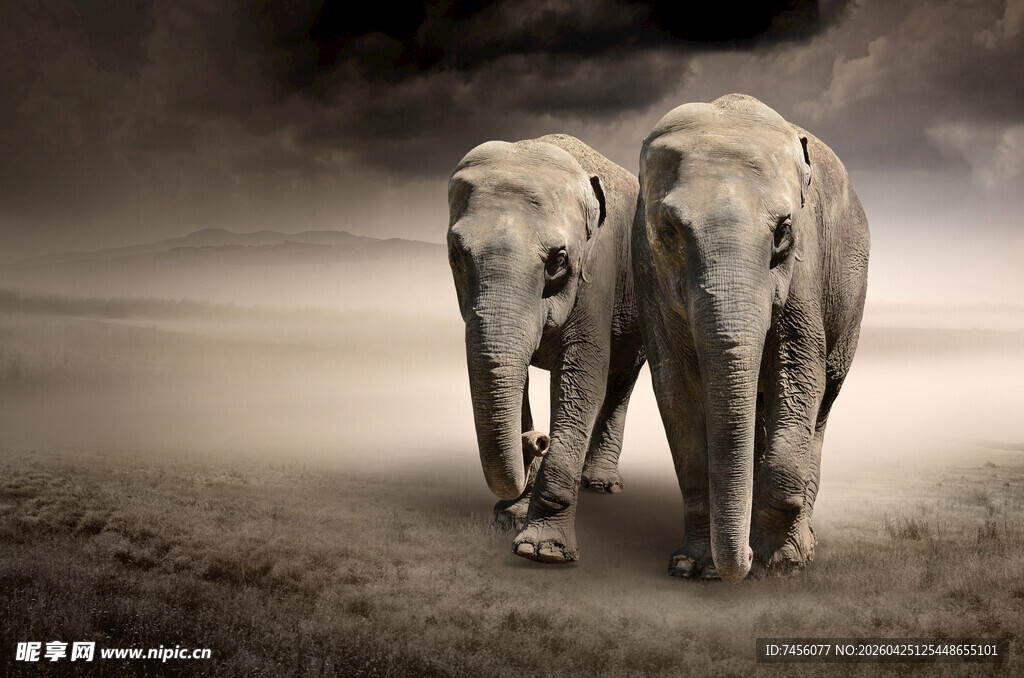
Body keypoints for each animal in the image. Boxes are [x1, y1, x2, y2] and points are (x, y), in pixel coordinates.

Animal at [447, 134, 645, 562]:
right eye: (456, 255)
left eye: (558, 259)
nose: (537, 440)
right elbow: (509, 375)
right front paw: (511, 518)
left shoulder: (598, 274)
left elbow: (582, 380)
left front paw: (542, 551)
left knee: (622, 377)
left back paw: (600, 484)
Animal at [631, 94, 870, 582]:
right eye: (668, 231)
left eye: (783, 231)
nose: (736, 565)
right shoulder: (646, 272)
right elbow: (676, 390)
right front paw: (690, 566)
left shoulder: (804, 268)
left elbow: (800, 373)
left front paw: (777, 562)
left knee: (823, 403)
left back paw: (799, 545)